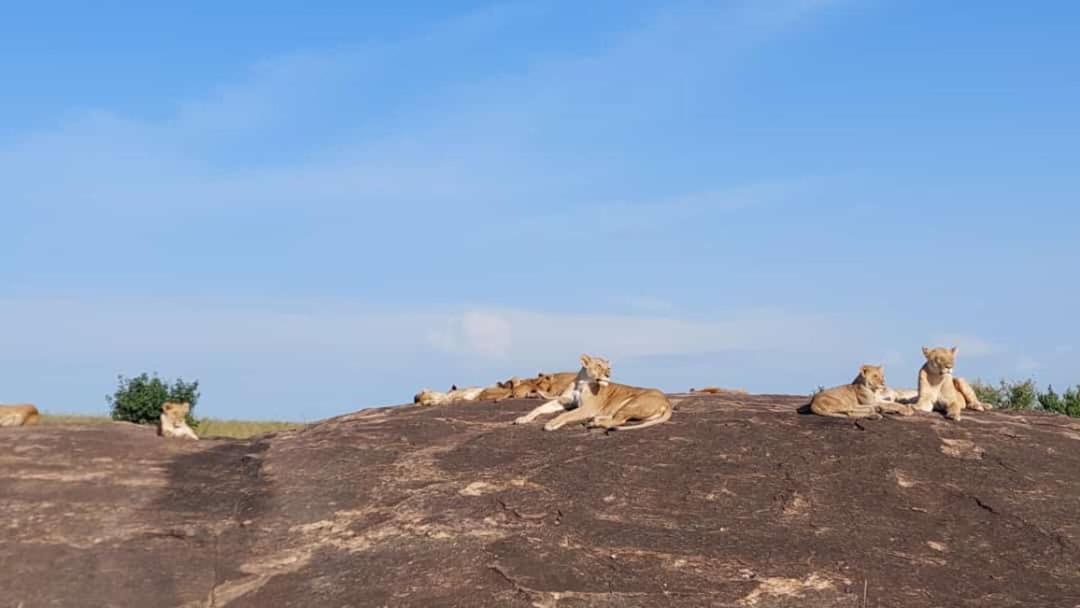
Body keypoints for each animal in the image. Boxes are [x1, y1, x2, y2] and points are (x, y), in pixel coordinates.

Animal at [516, 354, 673, 436]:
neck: (582, 382)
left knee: (619, 420)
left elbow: (566, 415)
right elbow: (538, 408)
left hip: (632, 402)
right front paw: (522, 419)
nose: (608, 375)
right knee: (615, 418)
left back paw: (594, 423)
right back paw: (594, 420)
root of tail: (667, 402)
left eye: (609, 368)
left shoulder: (587, 408)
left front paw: (552, 423)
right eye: (598, 365)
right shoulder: (563, 401)